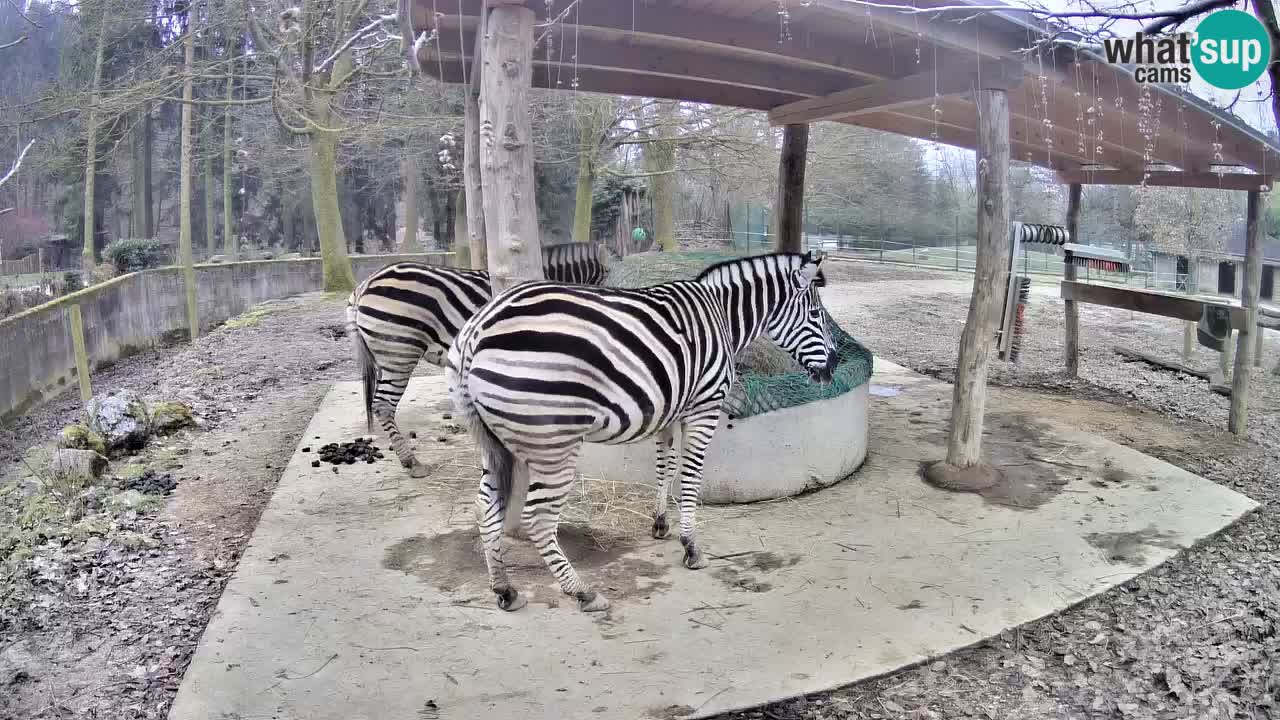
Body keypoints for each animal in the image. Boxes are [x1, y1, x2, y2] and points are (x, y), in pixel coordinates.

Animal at [445, 249, 834, 607]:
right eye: (816, 316)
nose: (832, 368)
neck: (721, 315)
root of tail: (478, 327)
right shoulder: (704, 407)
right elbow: (690, 477)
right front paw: (691, 546)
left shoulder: (669, 410)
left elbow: (666, 467)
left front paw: (660, 524)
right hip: (553, 443)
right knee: (537, 518)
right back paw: (581, 591)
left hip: (493, 441)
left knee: (483, 507)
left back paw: (504, 589)